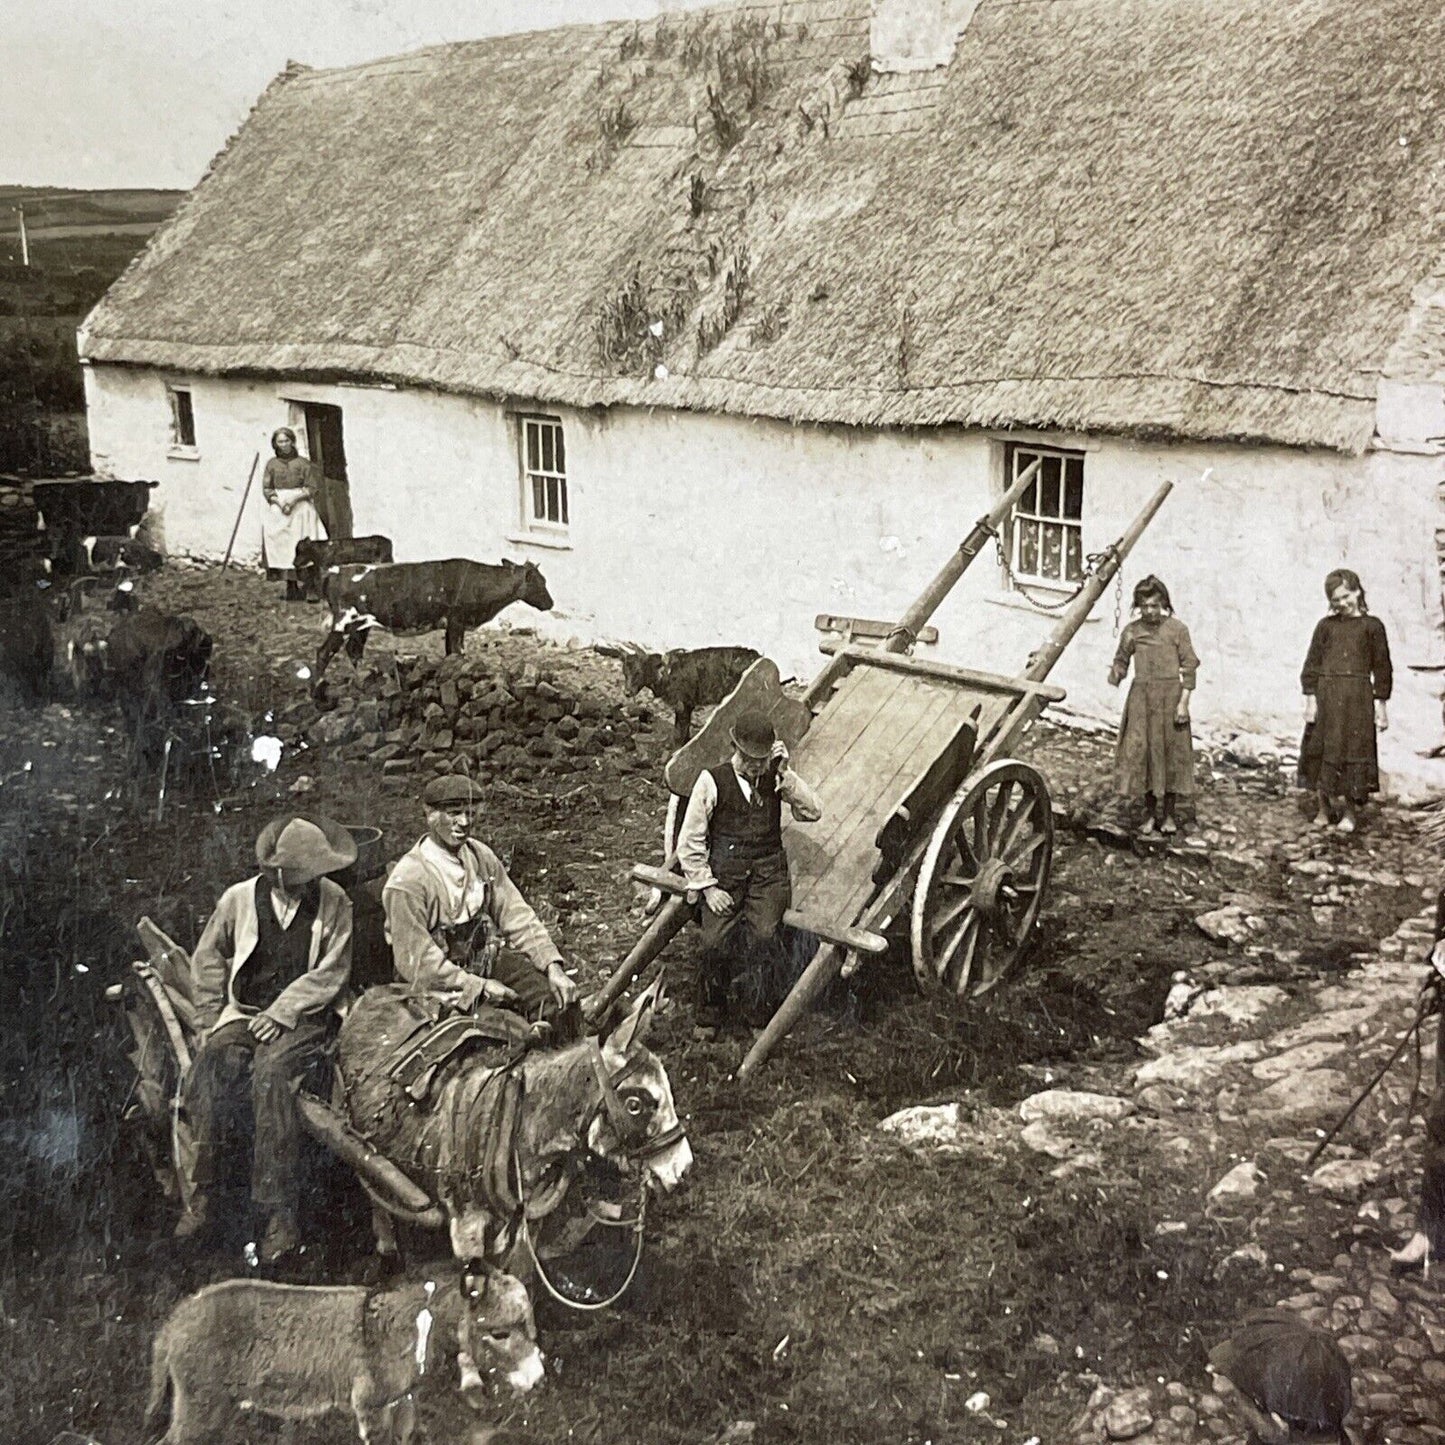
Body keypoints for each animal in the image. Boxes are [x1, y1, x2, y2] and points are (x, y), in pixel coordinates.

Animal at [316, 554, 551, 684]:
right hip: (344, 622)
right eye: (540, 583)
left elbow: (450, 655)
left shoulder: (450, 626)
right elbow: (458, 653)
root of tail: (336, 570)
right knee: (324, 653)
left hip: (361, 625)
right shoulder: (457, 622)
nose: (551, 603)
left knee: (354, 650)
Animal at [612, 650, 762, 751]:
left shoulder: (681, 704)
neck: (664, 674)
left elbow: (679, 732)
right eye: (624, 673)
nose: (627, 692)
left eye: (638, 672)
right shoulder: (688, 705)